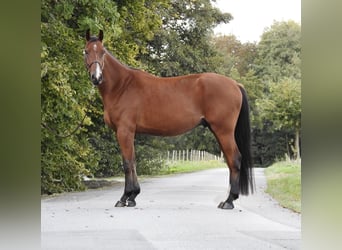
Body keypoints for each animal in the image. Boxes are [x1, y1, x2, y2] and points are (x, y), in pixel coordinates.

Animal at [83, 29, 254, 209]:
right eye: (86, 51)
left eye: (102, 52)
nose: (96, 77)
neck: (122, 86)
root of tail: (235, 84)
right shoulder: (129, 133)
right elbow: (133, 162)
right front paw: (133, 196)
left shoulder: (124, 131)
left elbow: (127, 163)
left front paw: (124, 198)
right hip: (218, 132)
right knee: (229, 161)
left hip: (223, 131)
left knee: (235, 159)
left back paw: (229, 201)